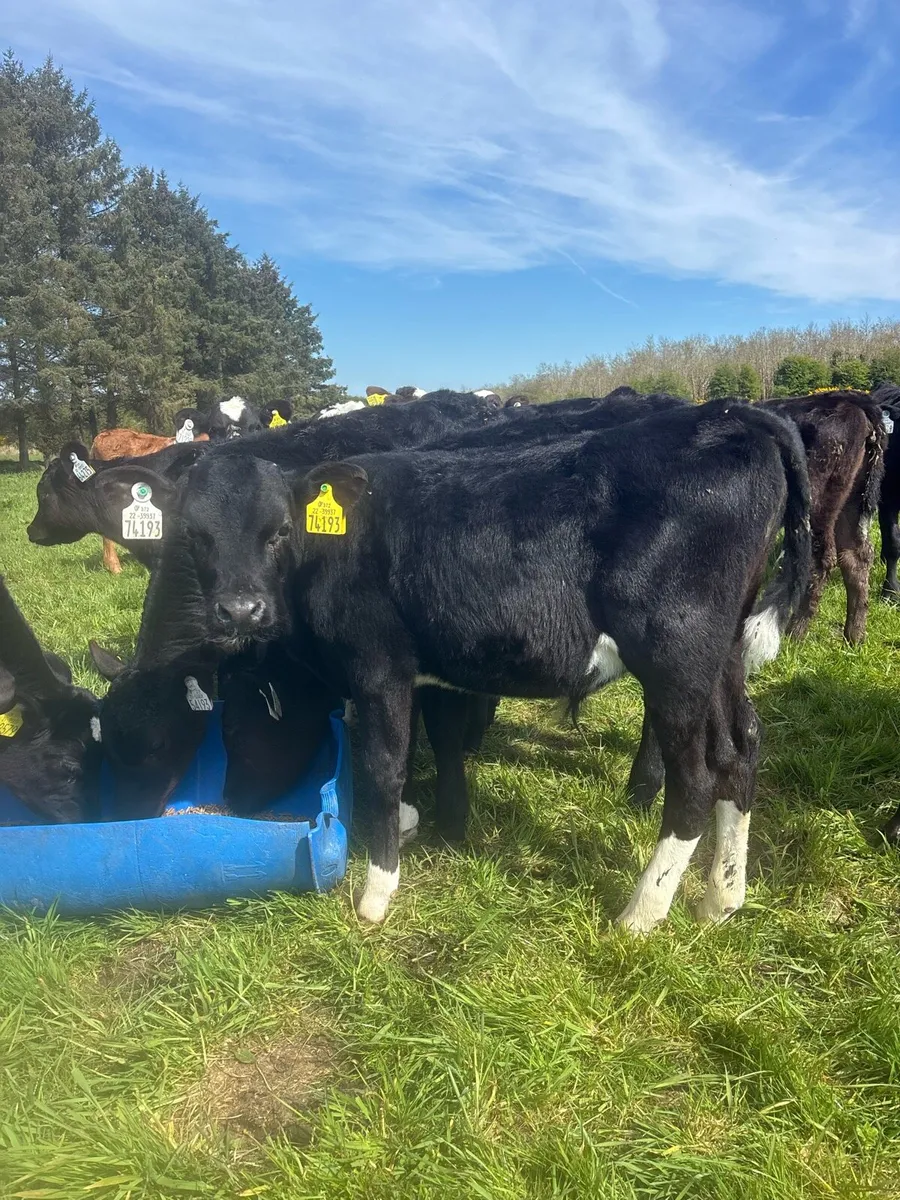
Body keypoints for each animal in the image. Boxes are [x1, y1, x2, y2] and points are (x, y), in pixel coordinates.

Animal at [104, 398, 810, 931]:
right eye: (197, 537)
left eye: (278, 530)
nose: (240, 609)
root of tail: (732, 417)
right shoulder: (435, 669)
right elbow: (438, 742)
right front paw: (431, 822)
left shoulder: (379, 668)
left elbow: (382, 766)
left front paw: (377, 890)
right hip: (722, 652)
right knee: (741, 748)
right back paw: (722, 897)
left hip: (675, 651)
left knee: (695, 776)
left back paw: (642, 912)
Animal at [759, 390, 886, 644]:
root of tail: (853, 399)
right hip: (851, 502)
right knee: (857, 556)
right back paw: (854, 637)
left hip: (817, 501)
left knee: (821, 559)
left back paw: (794, 634)